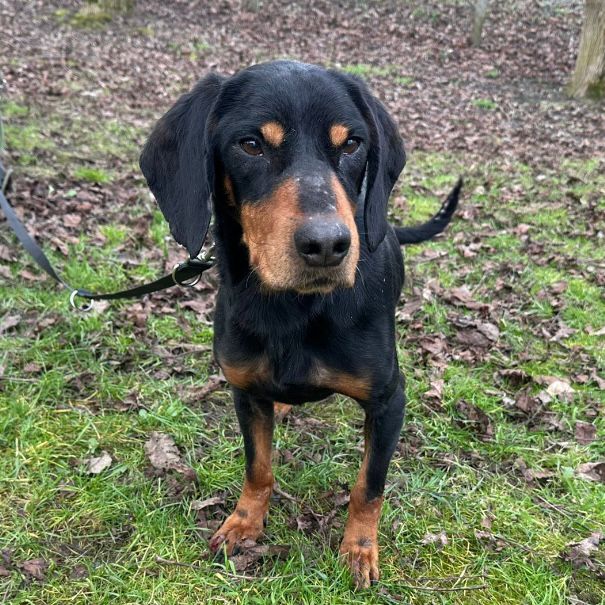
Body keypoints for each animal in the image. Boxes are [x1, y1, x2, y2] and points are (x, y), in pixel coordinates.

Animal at [140, 60, 460, 589]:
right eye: (251, 144)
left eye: (351, 144)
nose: (327, 245)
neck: (295, 310)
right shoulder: (245, 392)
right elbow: (259, 468)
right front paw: (244, 523)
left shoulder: (389, 401)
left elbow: (369, 486)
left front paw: (359, 549)